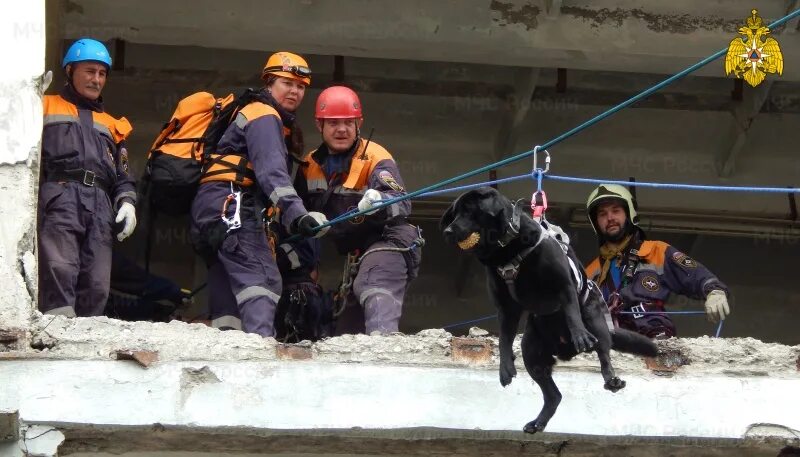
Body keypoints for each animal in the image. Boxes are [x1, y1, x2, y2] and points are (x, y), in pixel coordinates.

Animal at [438, 187, 656, 432]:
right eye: (454, 214)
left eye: (468, 211)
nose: (447, 231)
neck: (508, 250)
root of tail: (564, 350)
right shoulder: (506, 309)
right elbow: (504, 338)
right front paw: (505, 366)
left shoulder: (564, 284)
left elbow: (570, 310)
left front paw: (579, 335)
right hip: (531, 350)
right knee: (553, 395)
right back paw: (538, 422)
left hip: (595, 320)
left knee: (604, 354)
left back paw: (611, 379)